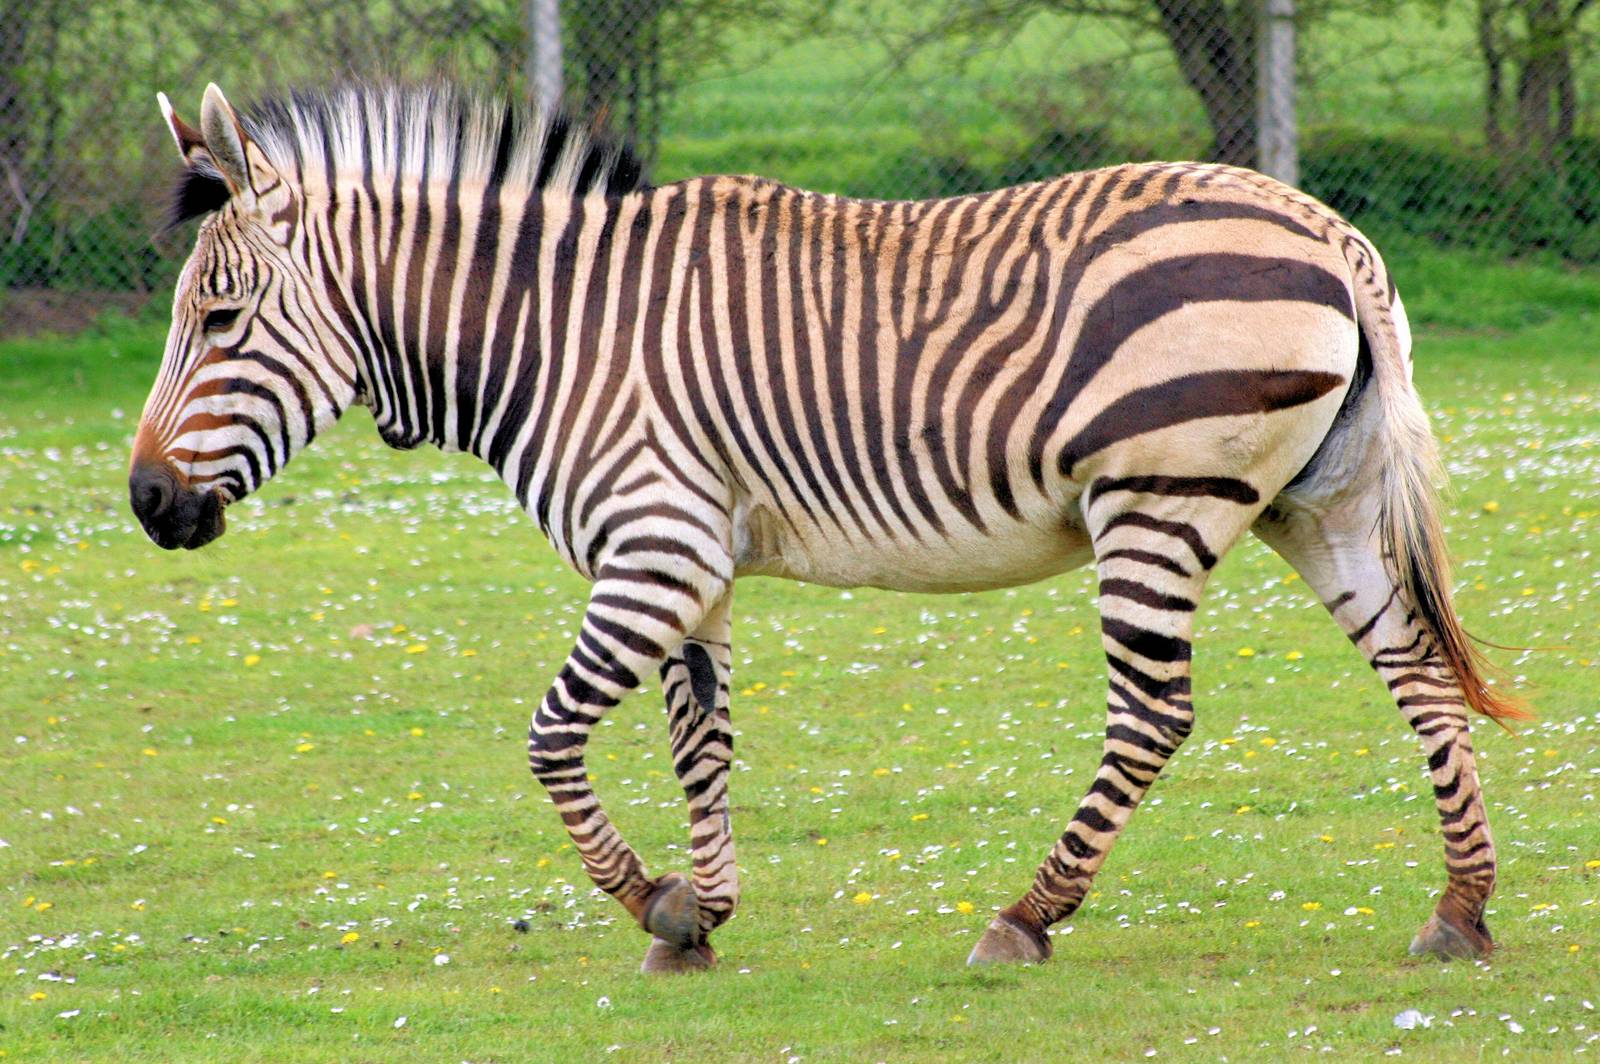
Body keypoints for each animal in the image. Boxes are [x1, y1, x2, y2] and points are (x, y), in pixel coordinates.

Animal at [131, 83, 1526, 974]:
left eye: (220, 319)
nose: (145, 501)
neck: (559, 334)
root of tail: (1329, 232)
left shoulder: (653, 546)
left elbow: (548, 737)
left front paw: (653, 900)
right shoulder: (693, 561)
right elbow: (700, 740)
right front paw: (702, 915)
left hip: (1156, 499)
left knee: (1153, 714)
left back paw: (1025, 915)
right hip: (1315, 501)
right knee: (1416, 673)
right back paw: (1459, 908)